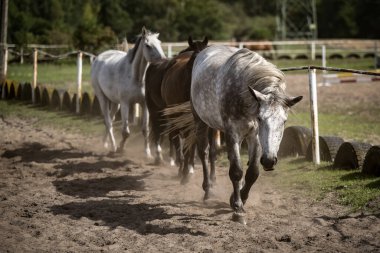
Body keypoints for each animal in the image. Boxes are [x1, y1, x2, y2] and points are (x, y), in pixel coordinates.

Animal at [91, 26, 166, 155]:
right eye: (148, 45)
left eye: (159, 43)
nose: (164, 60)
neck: (136, 77)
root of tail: (98, 58)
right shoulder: (125, 104)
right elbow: (126, 132)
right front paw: (120, 148)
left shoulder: (144, 104)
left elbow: (145, 130)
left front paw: (148, 153)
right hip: (102, 98)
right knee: (108, 122)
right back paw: (113, 146)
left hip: (115, 103)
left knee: (110, 119)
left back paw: (105, 143)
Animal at [145, 36, 209, 182]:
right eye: (195, 61)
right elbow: (181, 143)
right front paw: (184, 170)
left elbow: (192, 144)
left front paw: (189, 169)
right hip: (156, 111)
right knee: (163, 133)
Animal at [191, 45, 302, 223]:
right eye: (260, 118)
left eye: (284, 121)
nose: (270, 161)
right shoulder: (233, 133)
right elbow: (236, 171)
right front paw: (237, 208)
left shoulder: (254, 137)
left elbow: (252, 172)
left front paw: (240, 198)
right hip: (200, 121)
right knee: (204, 153)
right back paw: (208, 190)